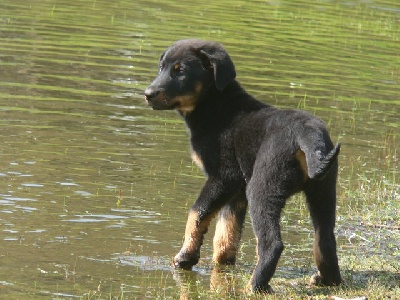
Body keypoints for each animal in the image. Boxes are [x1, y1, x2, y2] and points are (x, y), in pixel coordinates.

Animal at [144, 39, 340, 292]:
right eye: (161, 68)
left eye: (181, 71)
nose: (147, 94)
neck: (217, 108)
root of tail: (308, 132)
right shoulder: (236, 190)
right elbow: (227, 232)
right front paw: (221, 266)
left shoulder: (224, 177)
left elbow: (197, 213)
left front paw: (185, 257)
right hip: (323, 191)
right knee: (325, 238)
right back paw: (328, 280)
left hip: (262, 187)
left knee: (272, 243)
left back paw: (254, 285)